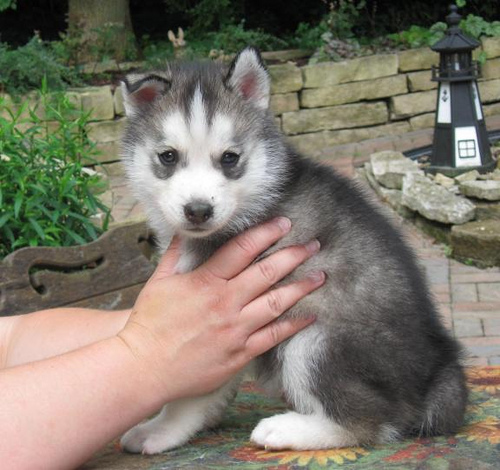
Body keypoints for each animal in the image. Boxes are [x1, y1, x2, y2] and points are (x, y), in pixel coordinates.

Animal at [119, 47, 466, 456]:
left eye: (230, 158)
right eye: (168, 157)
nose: (199, 210)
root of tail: (439, 370)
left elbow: (189, 394)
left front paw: (160, 429)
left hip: (314, 338)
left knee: (373, 421)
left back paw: (288, 429)